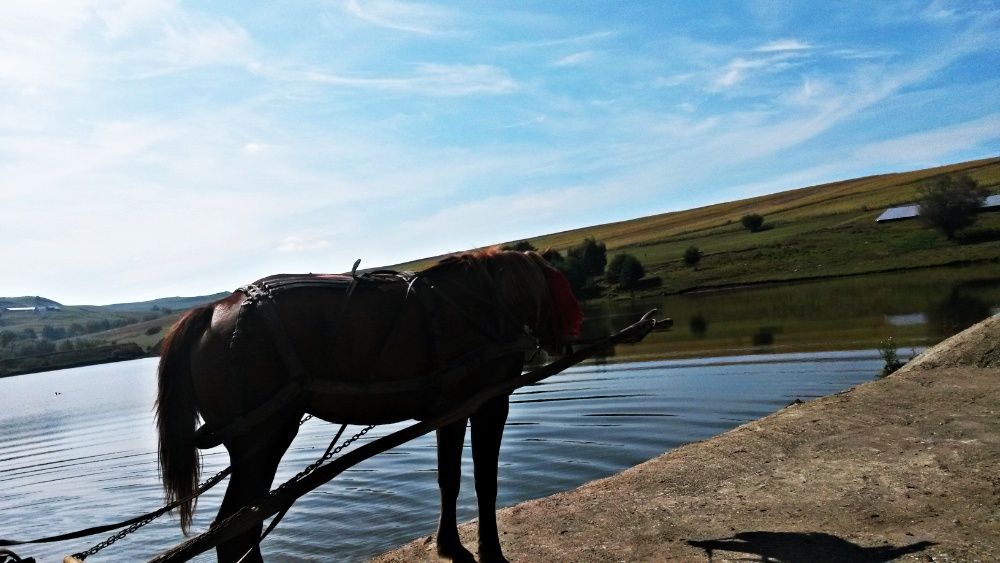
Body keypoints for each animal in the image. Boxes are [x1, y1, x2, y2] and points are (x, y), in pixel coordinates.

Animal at [152, 251, 584, 563]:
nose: (570, 337)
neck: (486, 299)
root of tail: (211, 311)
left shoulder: (454, 409)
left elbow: (450, 478)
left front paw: (451, 547)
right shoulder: (491, 400)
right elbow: (485, 481)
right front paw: (491, 553)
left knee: (239, 529)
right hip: (262, 441)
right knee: (235, 532)